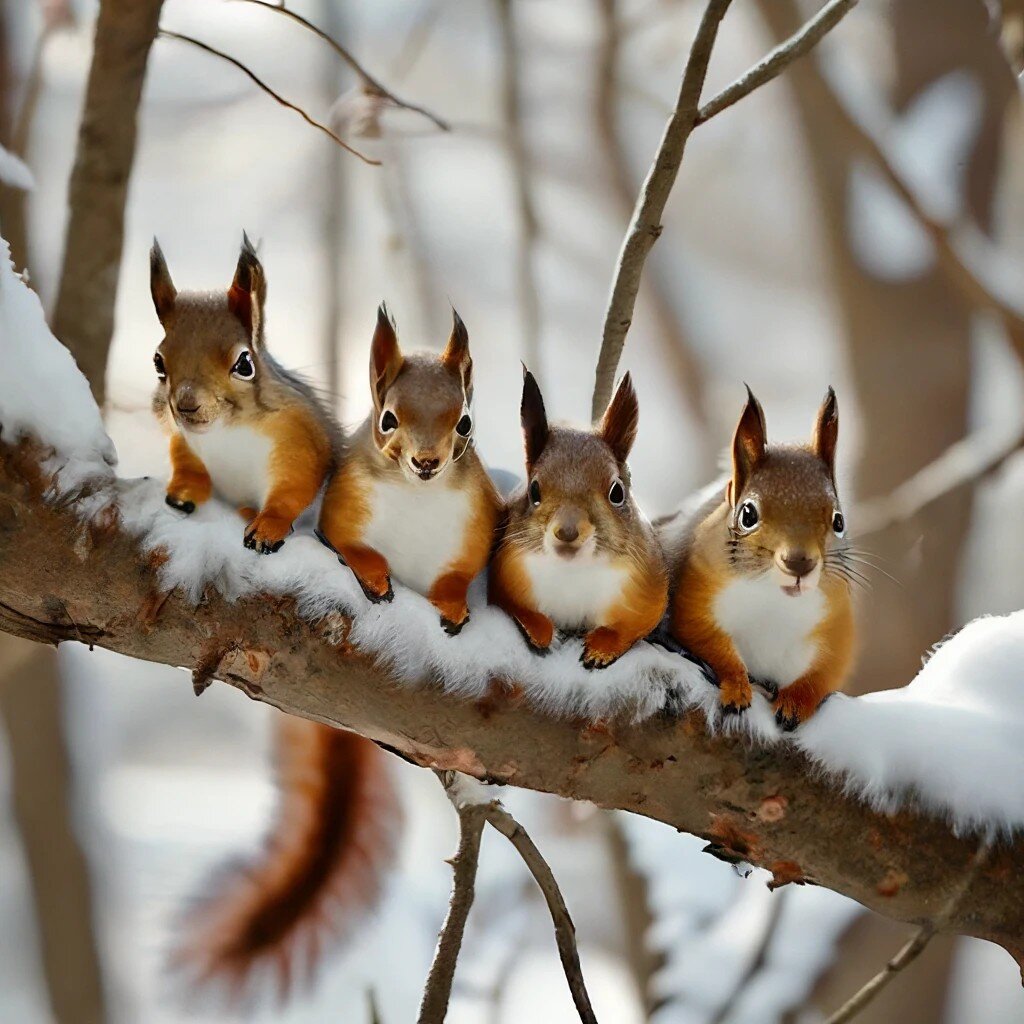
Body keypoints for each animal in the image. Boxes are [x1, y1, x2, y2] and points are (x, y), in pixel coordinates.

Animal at [148, 234, 335, 552]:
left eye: (245, 364)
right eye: (158, 362)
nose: (185, 405)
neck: (226, 431)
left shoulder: (300, 445)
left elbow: (292, 491)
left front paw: (267, 525)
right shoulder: (180, 436)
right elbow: (187, 464)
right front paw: (184, 491)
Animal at [315, 301, 499, 630]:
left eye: (465, 423)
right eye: (387, 420)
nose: (426, 461)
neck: (416, 492)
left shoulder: (475, 531)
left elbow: (455, 579)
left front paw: (452, 605)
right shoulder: (345, 503)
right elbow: (350, 546)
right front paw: (374, 579)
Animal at [489, 372, 667, 667]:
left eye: (617, 492)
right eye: (533, 490)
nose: (568, 532)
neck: (573, 570)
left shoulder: (645, 590)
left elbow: (627, 629)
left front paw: (603, 647)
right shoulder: (507, 574)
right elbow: (520, 609)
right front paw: (539, 630)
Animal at [659, 385, 851, 729]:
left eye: (839, 521)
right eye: (748, 514)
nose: (799, 563)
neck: (774, 601)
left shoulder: (835, 629)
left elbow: (821, 676)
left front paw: (795, 702)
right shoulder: (696, 602)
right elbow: (712, 646)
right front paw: (736, 684)